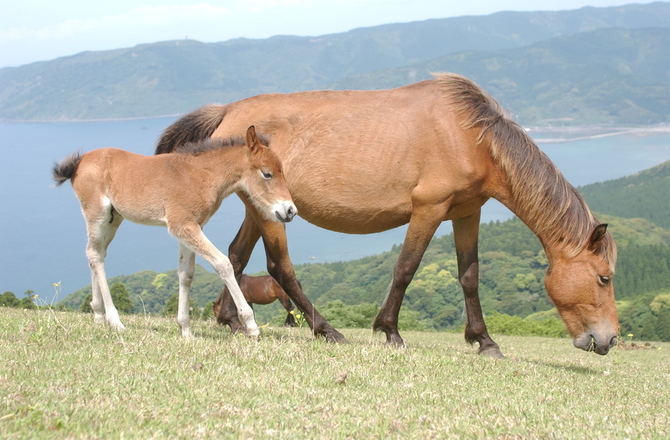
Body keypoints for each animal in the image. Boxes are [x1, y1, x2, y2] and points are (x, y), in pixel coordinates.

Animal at [52, 125, 294, 338]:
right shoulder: (182, 225)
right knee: (94, 254)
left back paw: (98, 315)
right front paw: (251, 326)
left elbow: (186, 273)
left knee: (97, 253)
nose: (290, 210)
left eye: (283, 171)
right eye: (267, 174)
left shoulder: (192, 227)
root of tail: (80, 161)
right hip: (97, 214)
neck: (200, 176)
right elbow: (222, 264)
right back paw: (114, 320)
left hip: (113, 218)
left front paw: (185, 330)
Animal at [158, 73, 620, 358]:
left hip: (260, 206)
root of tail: (227, 110)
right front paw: (390, 331)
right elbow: (406, 268)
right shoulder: (429, 208)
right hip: (271, 213)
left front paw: (484, 340)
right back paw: (326, 330)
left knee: (236, 256)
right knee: (279, 267)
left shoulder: (467, 211)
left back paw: (232, 321)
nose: (609, 339)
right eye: (604, 278)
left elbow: (469, 275)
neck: (471, 135)